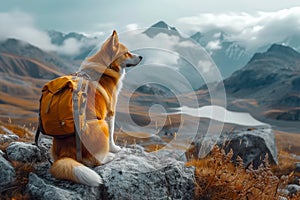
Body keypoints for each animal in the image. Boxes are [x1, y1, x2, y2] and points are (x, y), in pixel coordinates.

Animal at [49, 30, 143, 187]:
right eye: (126, 53)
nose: (141, 56)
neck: (107, 66)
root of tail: (66, 153)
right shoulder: (110, 113)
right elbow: (111, 136)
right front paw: (115, 149)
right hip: (101, 124)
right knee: (96, 161)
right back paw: (109, 156)